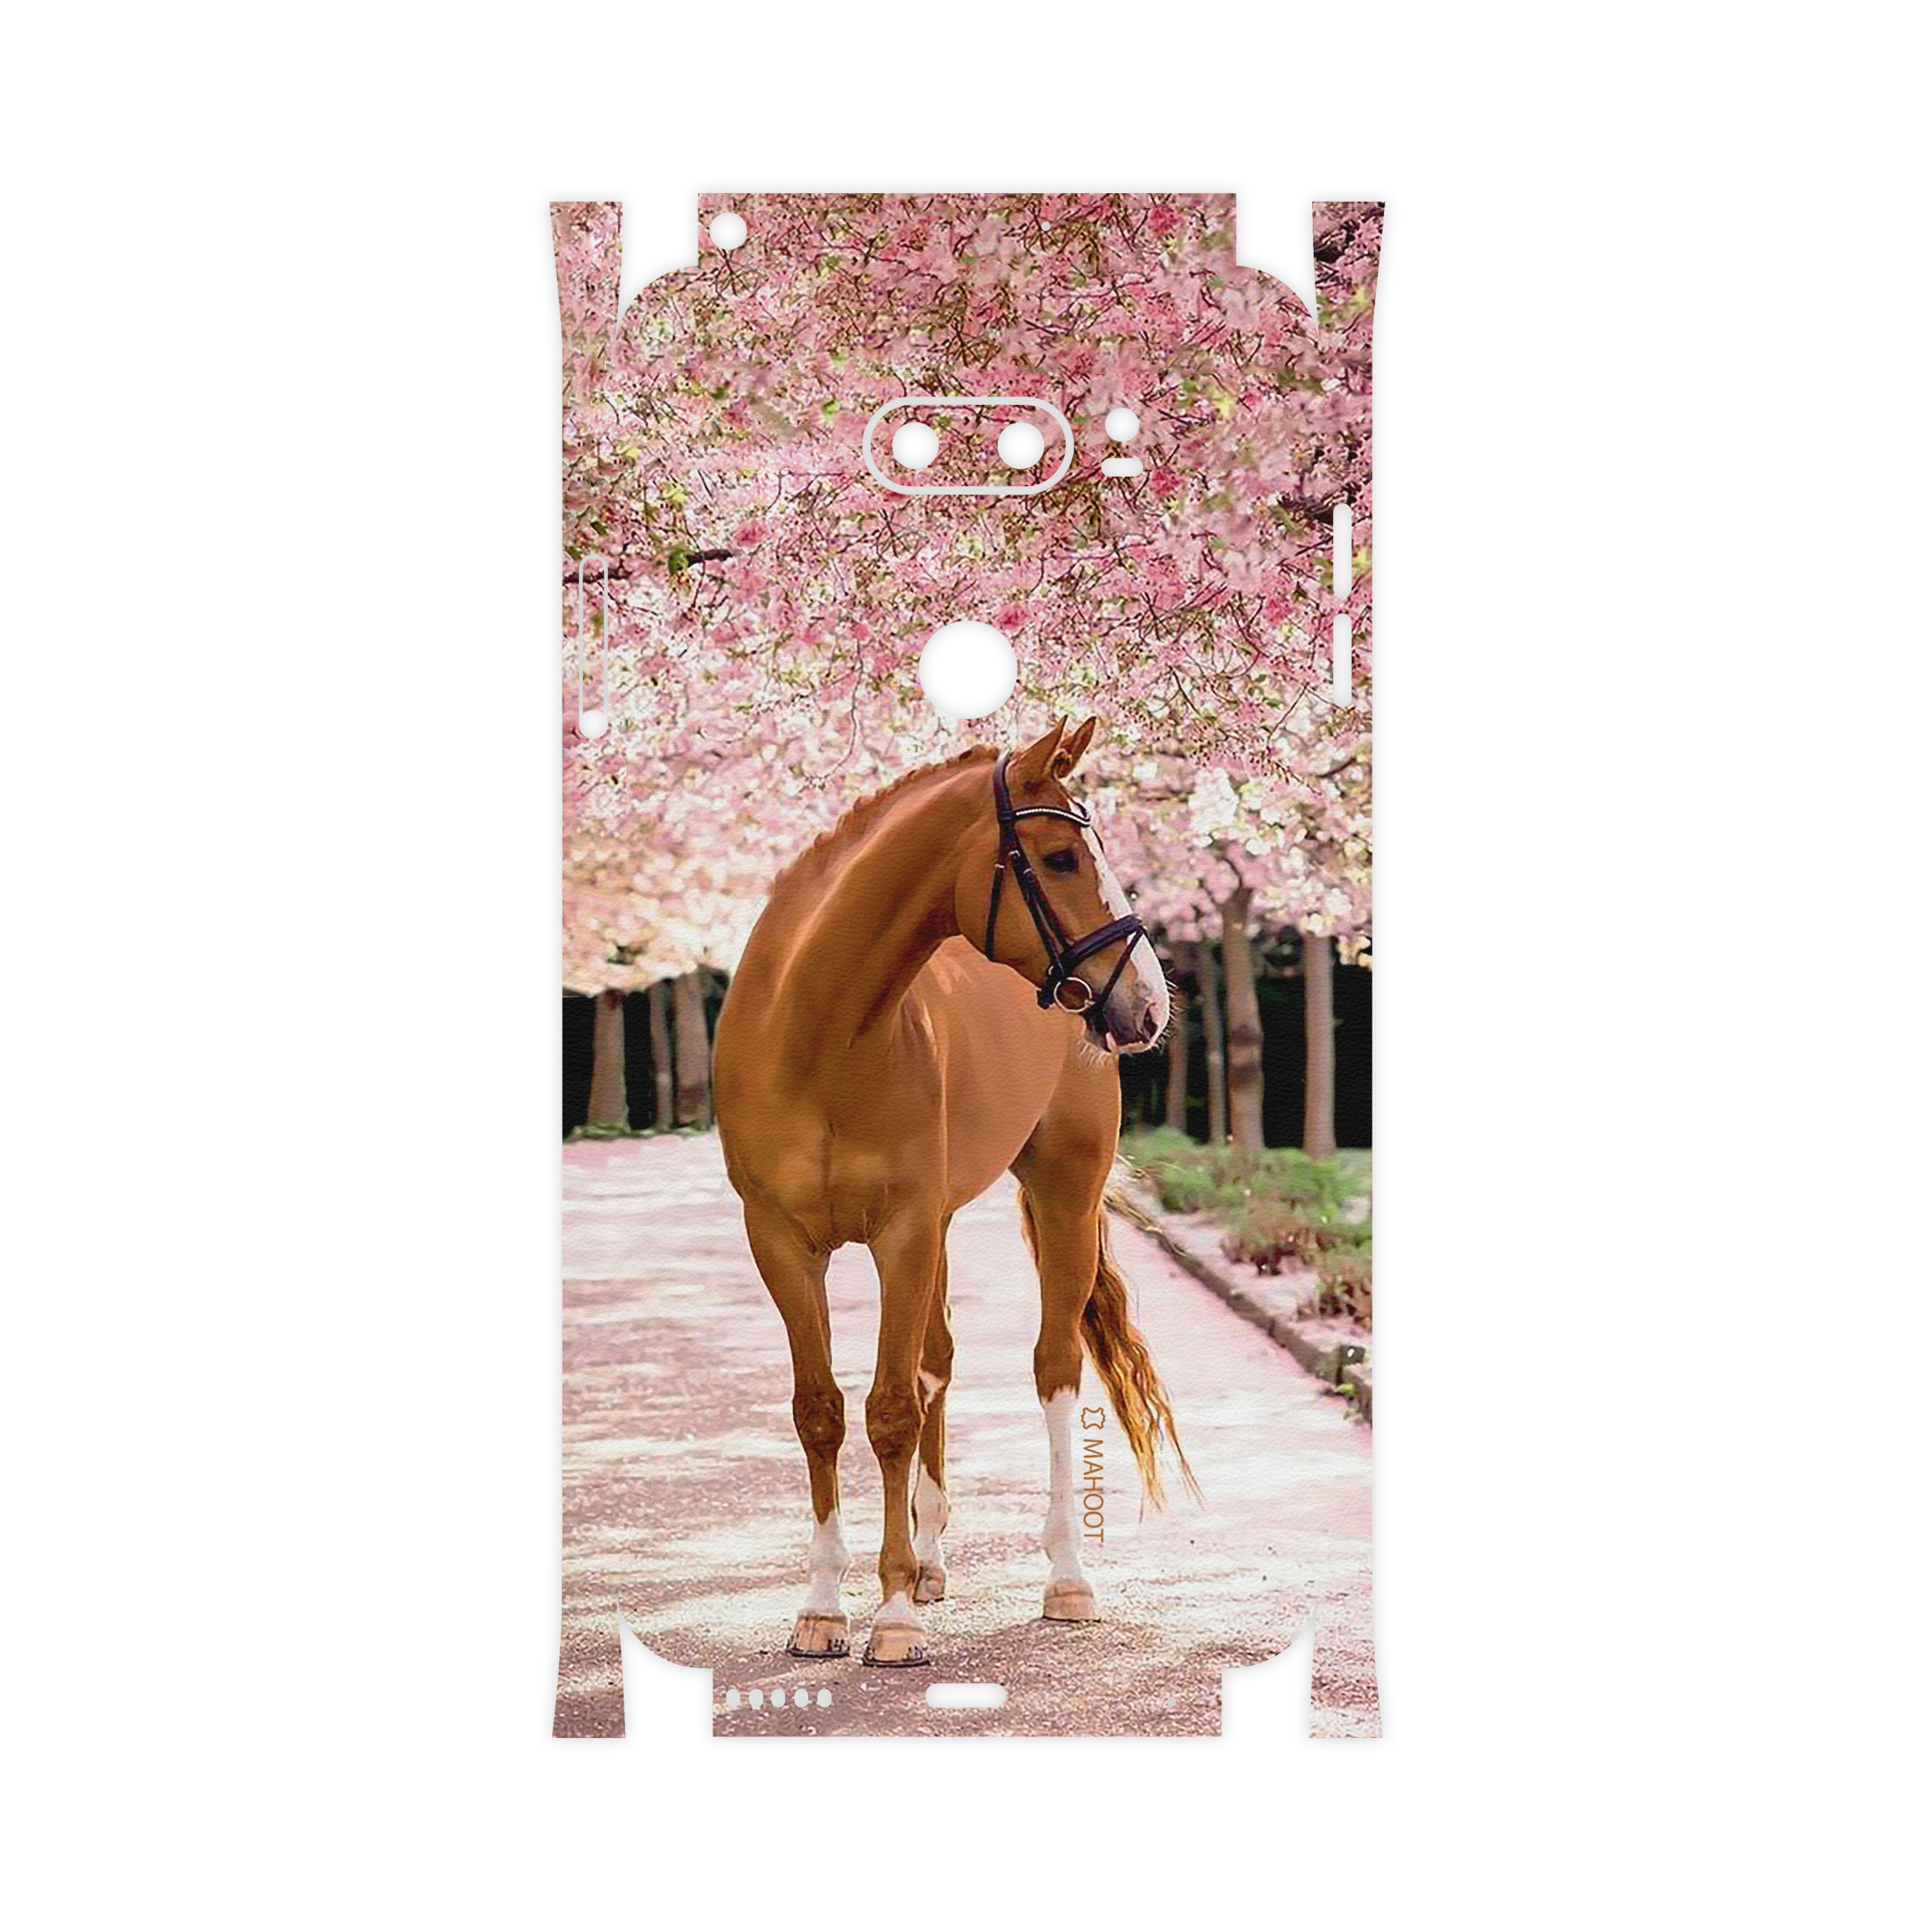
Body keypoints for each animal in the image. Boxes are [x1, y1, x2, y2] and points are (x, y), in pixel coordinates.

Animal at [713, 716, 1194, 1666]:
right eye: (1058, 857)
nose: (1150, 1004)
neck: (817, 1033)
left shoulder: (900, 1232)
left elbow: (891, 1409)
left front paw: (892, 1617)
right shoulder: (782, 1241)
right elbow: (822, 1411)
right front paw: (823, 1608)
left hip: (1062, 1193)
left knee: (1052, 1367)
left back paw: (1064, 1579)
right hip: (936, 1226)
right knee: (937, 1360)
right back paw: (931, 1562)